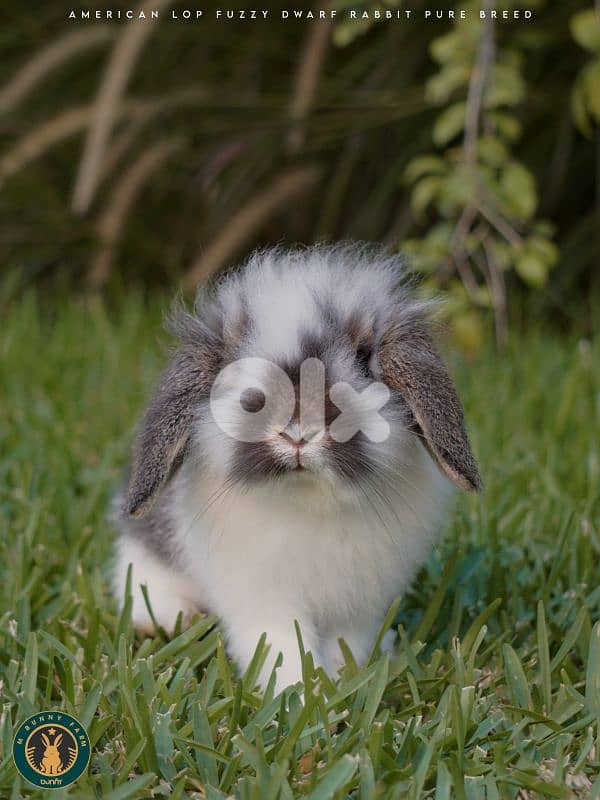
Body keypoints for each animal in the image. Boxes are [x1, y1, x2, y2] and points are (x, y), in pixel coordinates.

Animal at [112, 244, 481, 691]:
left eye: (364, 356)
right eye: (236, 366)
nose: (298, 433)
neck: (310, 499)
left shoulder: (358, 607)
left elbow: (346, 646)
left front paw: (345, 681)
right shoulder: (264, 600)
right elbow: (283, 648)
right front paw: (298, 695)